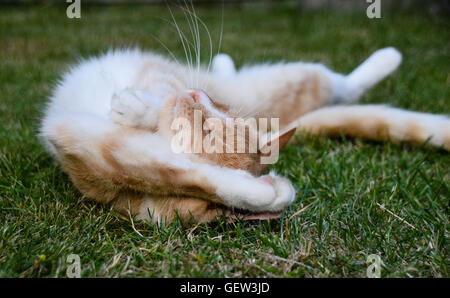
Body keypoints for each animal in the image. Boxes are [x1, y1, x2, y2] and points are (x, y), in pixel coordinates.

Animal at [39, 46, 450, 225]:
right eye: (215, 111)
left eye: (208, 125)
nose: (196, 94)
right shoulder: (87, 144)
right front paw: (139, 105)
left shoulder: (90, 144)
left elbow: (186, 173)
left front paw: (266, 193)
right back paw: (222, 62)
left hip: (282, 84)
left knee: (342, 87)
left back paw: (389, 57)